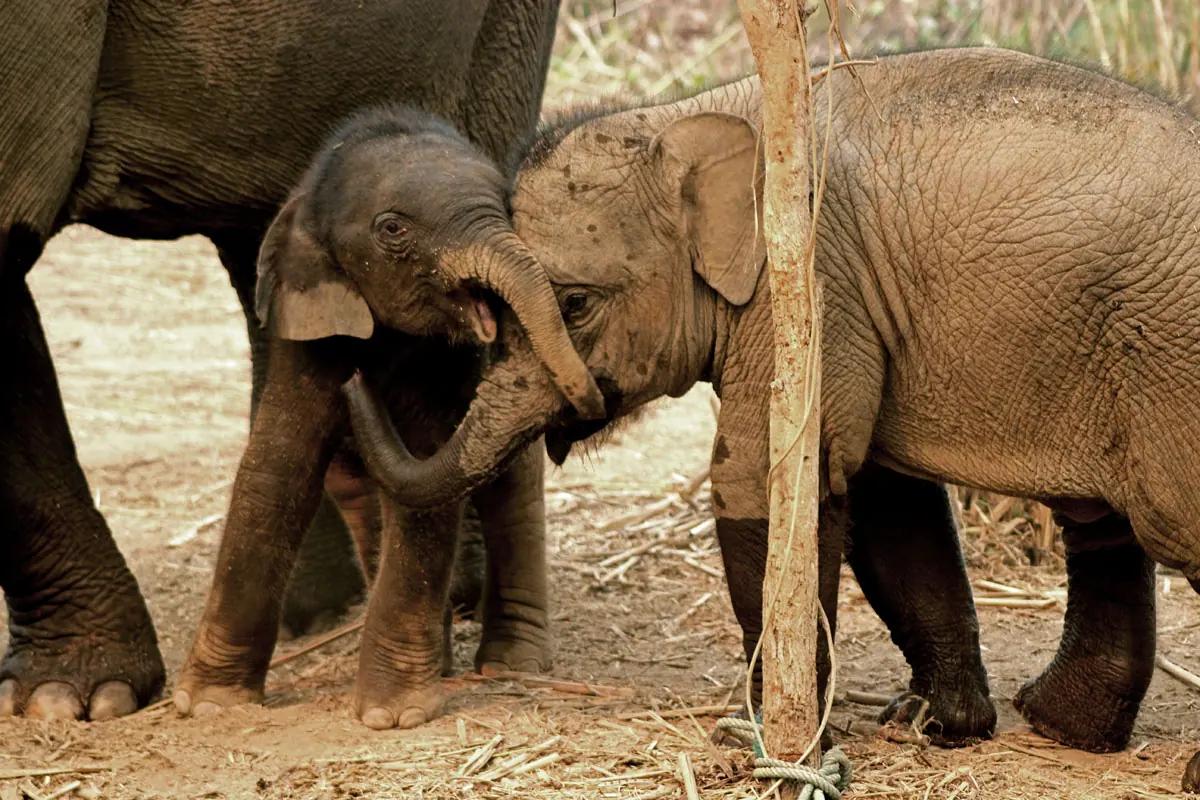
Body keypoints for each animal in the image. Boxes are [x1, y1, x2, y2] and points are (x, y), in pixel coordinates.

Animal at [0, 0, 590, 723]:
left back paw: (491, 646)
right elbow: (281, 459)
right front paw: (174, 704)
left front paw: (389, 714)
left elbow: (423, 461)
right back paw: (321, 617)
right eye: (393, 229)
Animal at [341, 47, 1200, 787]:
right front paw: (930, 725)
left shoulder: (811, 283)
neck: (695, 116)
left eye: (577, 304)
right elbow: (886, 505)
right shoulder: (851, 309)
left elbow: (764, 481)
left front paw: (766, 741)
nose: (349, 369)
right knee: (1101, 520)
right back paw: (1062, 729)